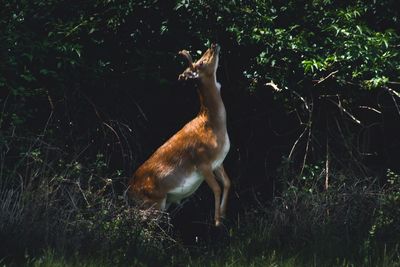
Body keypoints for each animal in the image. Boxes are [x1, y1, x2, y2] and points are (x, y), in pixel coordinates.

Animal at [128, 43, 231, 226]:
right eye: (201, 62)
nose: (213, 45)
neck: (213, 126)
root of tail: (128, 192)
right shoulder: (202, 161)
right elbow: (217, 188)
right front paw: (217, 221)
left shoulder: (218, 161)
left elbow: (227, 183)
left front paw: (223, 215)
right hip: (153, 202)